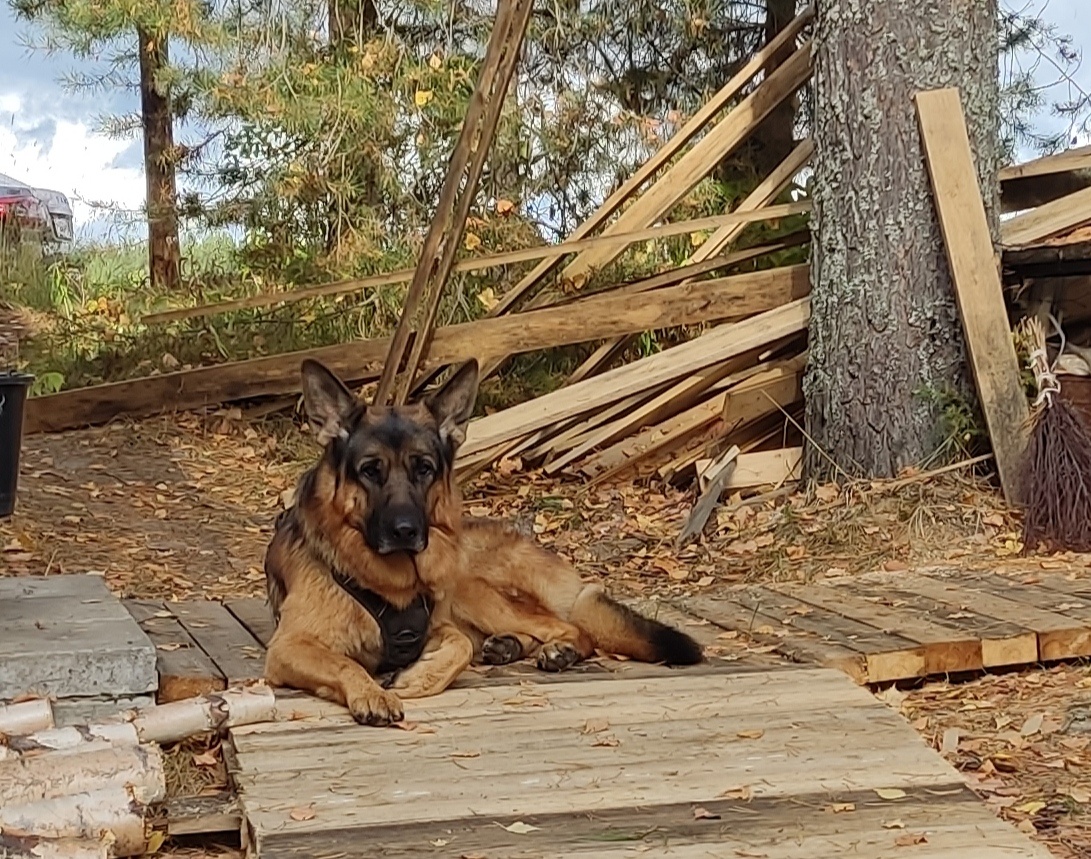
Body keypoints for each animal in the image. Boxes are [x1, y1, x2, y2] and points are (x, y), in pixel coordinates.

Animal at [265, 355, 706, 724]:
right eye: (370, 470)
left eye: (424, 469)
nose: (406, 531)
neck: (392, 585)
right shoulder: (288, 647)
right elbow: (347, 663)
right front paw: (372, 692)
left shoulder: (437, 626)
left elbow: (459, 646)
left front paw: (416, 679)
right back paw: (509, 646)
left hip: (470, 587)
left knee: (571, 628)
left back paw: (554, 649)